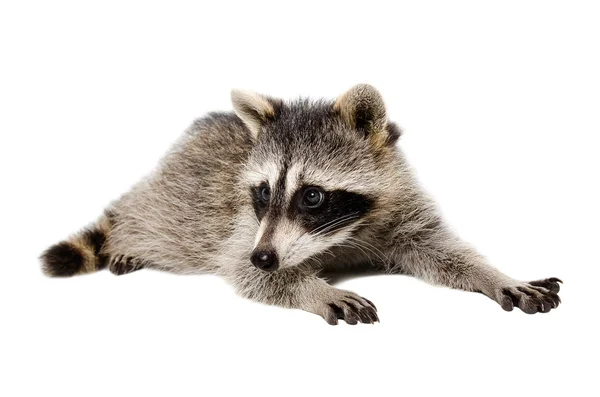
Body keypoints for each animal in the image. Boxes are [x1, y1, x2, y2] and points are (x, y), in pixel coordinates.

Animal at [41, 85, 564, 324]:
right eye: (263, 191)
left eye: (312, 195)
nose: (265, 256)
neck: (343, 232)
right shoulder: (243, 227)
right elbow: (247, 271)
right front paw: (311, 289)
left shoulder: (401, 205)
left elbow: (441, 251)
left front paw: (495, 274)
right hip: (172, 194)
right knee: (154, 216)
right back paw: (129, 238)